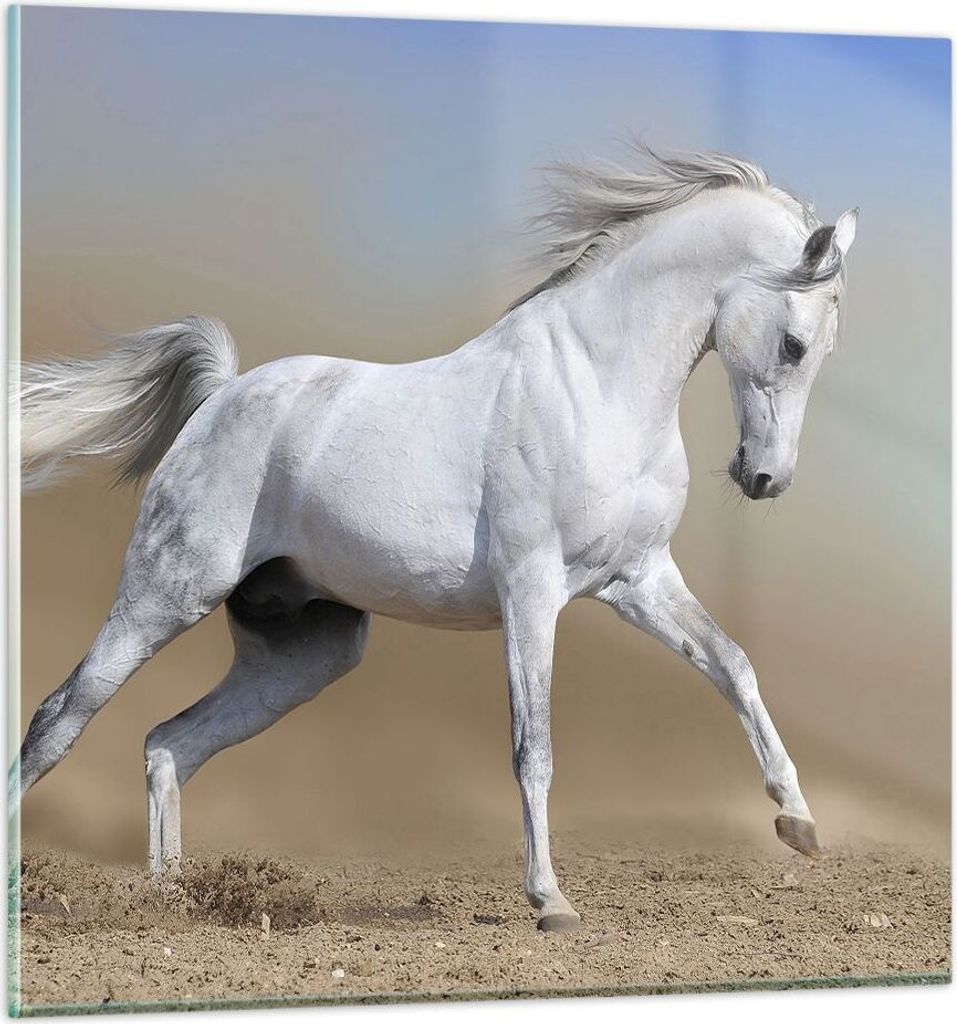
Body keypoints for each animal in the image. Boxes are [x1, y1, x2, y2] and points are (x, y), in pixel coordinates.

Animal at [10, 146, 858, 933]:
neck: (594, 386)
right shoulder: (531, 591)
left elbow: (733, 666)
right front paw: (549, 901)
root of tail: (220, 397)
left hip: (304, 653)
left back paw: (175, 900)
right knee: (59, 717)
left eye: (825, 349)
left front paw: (798, 822)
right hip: (165, 594)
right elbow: (532, 746)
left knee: (169, 743)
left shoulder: (637, 579)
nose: (764, 478)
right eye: (793, 343)